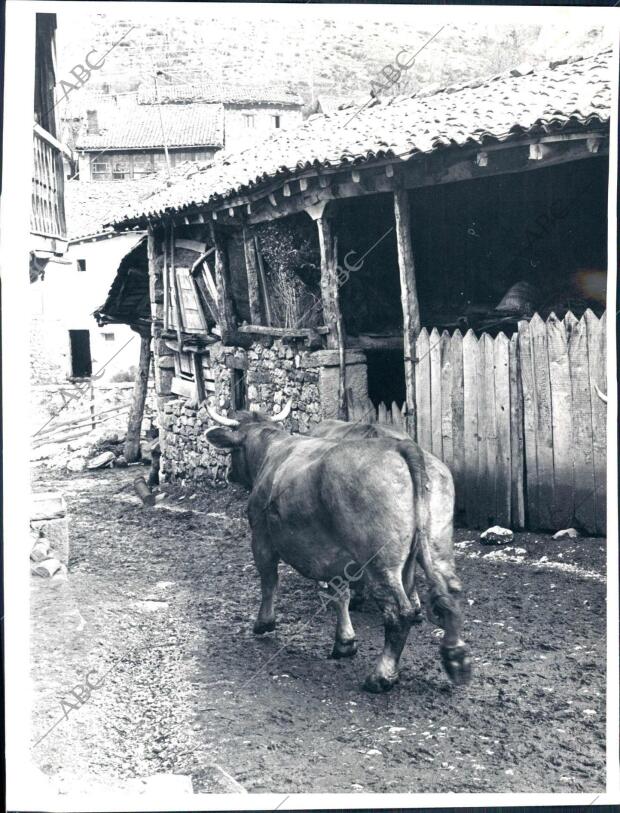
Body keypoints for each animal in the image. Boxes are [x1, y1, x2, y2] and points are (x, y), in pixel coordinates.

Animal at [206, 400, 472, 692]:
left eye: (233, 450)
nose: (229, 474)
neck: (272, 450)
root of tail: (401, 447)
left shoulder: (262, 536)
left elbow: (269, 581)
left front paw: (263, 623)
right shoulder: (333, 554)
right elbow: (339, 594)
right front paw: (345, 642)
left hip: (380, 563)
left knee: (398, 612)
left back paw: (382, 676)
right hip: (436, 546)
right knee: (450, 592)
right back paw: (456, 659)